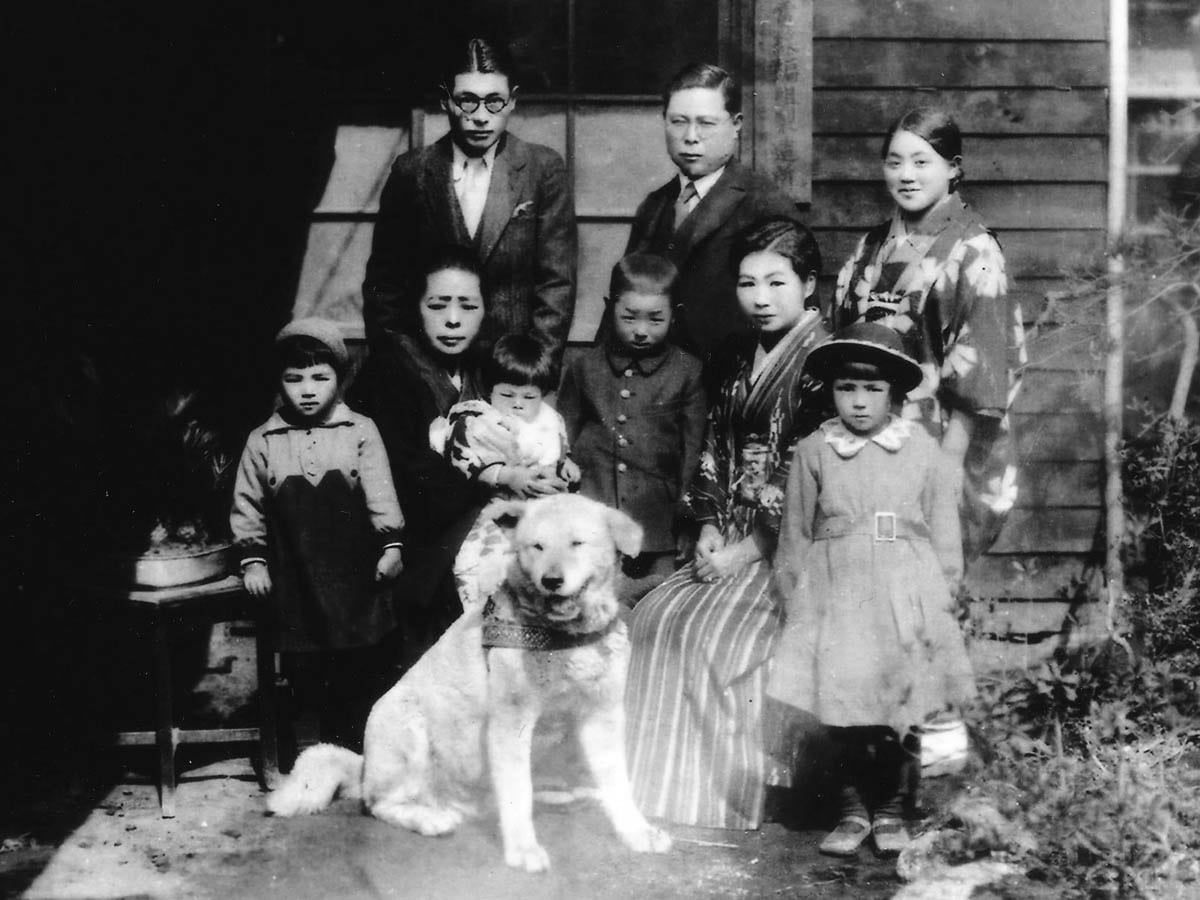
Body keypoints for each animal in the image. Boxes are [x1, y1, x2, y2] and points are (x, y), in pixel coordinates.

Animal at [266, 494, 672, 873]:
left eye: (577, 543)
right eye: (536, 547)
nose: (551, 581)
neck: (562, 637)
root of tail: (365, 768)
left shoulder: (603, 717)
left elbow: (618, 784)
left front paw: (637, 831)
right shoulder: (510, 723)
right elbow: (518, 792)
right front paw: (523, 849)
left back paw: (566, 795)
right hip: (404, 723)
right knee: (381, 803)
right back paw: (430, 818)